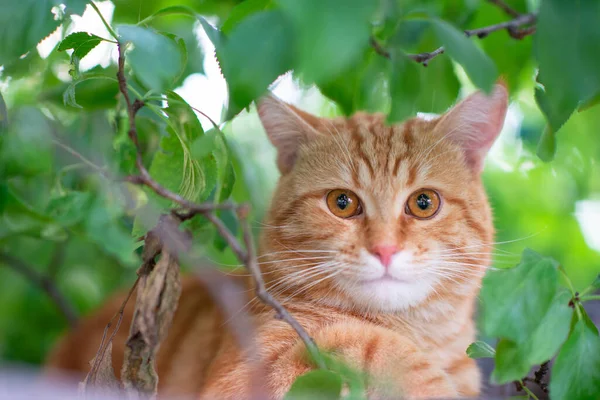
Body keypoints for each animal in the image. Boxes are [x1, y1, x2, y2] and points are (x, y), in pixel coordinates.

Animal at [44, 83, 508, 396]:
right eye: (342, 203)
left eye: (424, 203)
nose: (385, 249)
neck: (419, 332)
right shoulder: (252, 372)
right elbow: (365, 342)